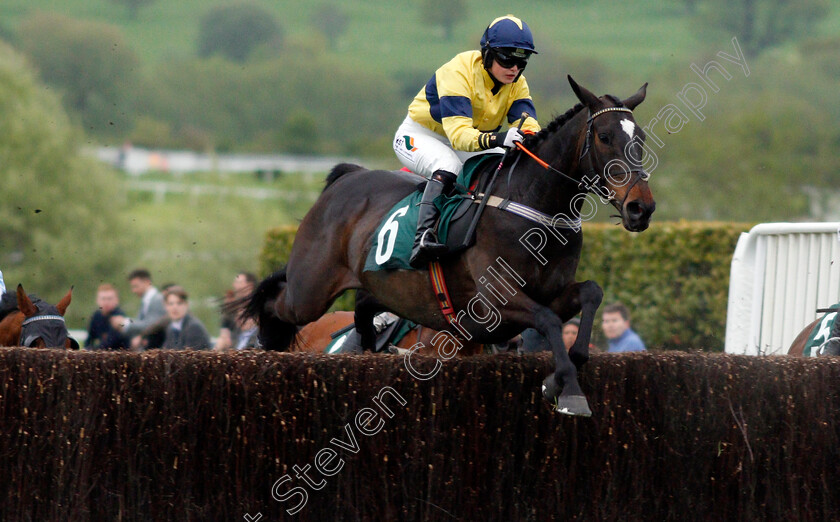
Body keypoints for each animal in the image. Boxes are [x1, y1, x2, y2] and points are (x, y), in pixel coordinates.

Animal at [248, 75, 656, 414]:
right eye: (604, 136)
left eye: (639, 139)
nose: (641, 208)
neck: (533, 205)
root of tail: (347, 177)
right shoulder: (495, 303)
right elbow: (549, 320)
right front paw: (568, 388)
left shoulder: (549, 294)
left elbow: (590, 294)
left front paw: (561, 375)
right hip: (310, 290)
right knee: (275, 300)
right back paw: (263, 350)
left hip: (383, 290)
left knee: (362, 309)